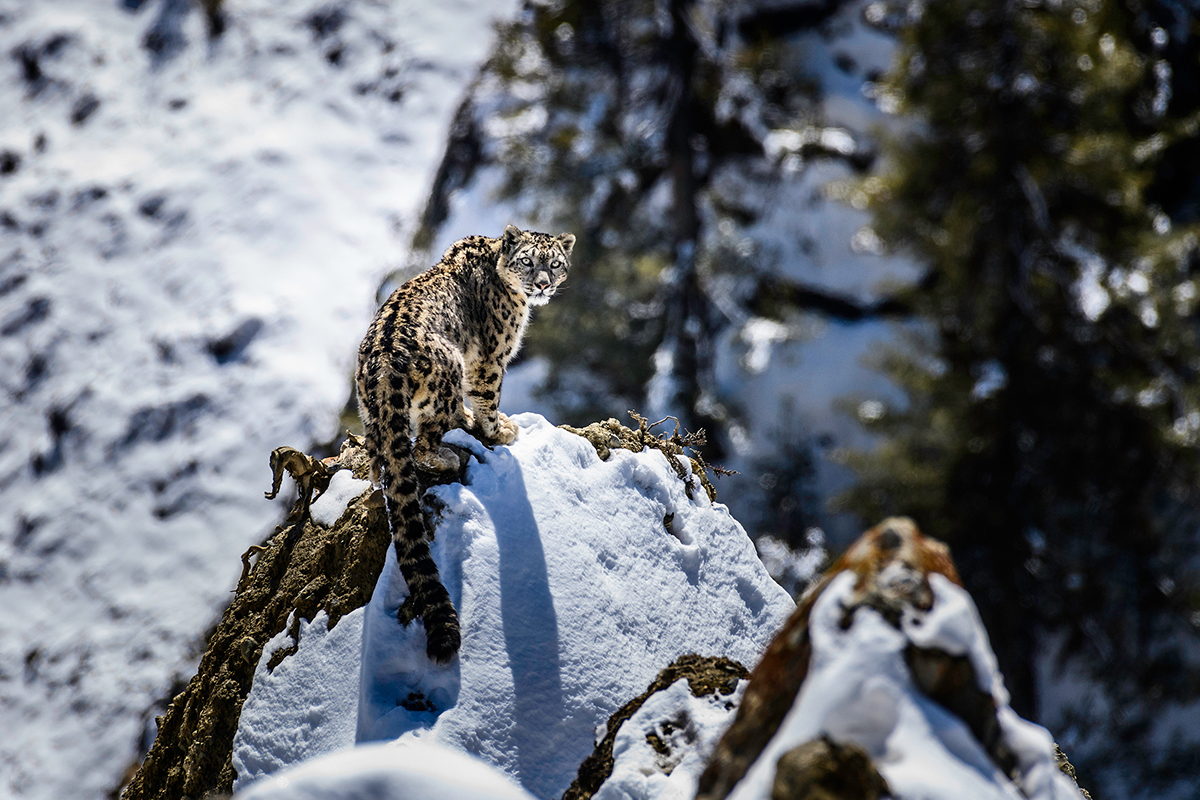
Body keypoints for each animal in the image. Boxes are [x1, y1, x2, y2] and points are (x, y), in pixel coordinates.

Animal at [356, 225, 574, 663]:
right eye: (528, 261)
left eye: (556, 263)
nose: (543, 283)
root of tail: (385, 362)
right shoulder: (491, 359)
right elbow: (488, 395)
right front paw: (498, 430)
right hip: (449, 369)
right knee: (422, 445)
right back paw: (448, 455)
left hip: (371, 418)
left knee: (381, 463)